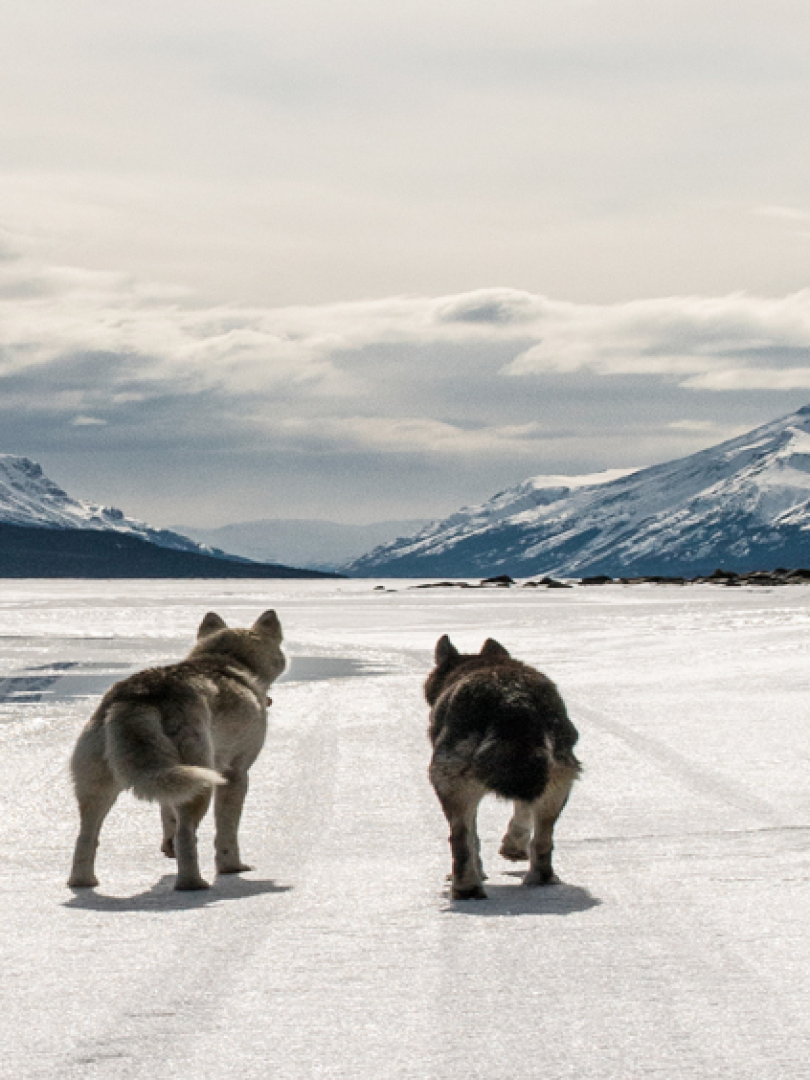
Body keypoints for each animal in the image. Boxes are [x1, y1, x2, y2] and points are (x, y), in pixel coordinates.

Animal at [68, 613, 287, 889]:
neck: (229, 660)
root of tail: (140, 695)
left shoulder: (169, 780)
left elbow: (167, 814)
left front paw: (168, 846)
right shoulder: (235, 774)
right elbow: (226, 833)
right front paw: (231, 868)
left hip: (99, 791)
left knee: (85, 838)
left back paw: (83, 882)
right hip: (201, 783)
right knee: (187, 836)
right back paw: (193, 884)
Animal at [427, 635, 578, 898]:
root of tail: (513, 702)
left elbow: (474, 837)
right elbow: (522, 812)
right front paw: (513, 847)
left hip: (448, 784)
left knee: (459, 841)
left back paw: (465, 889)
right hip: (559, 783)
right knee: (543, 840)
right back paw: (542, 880)